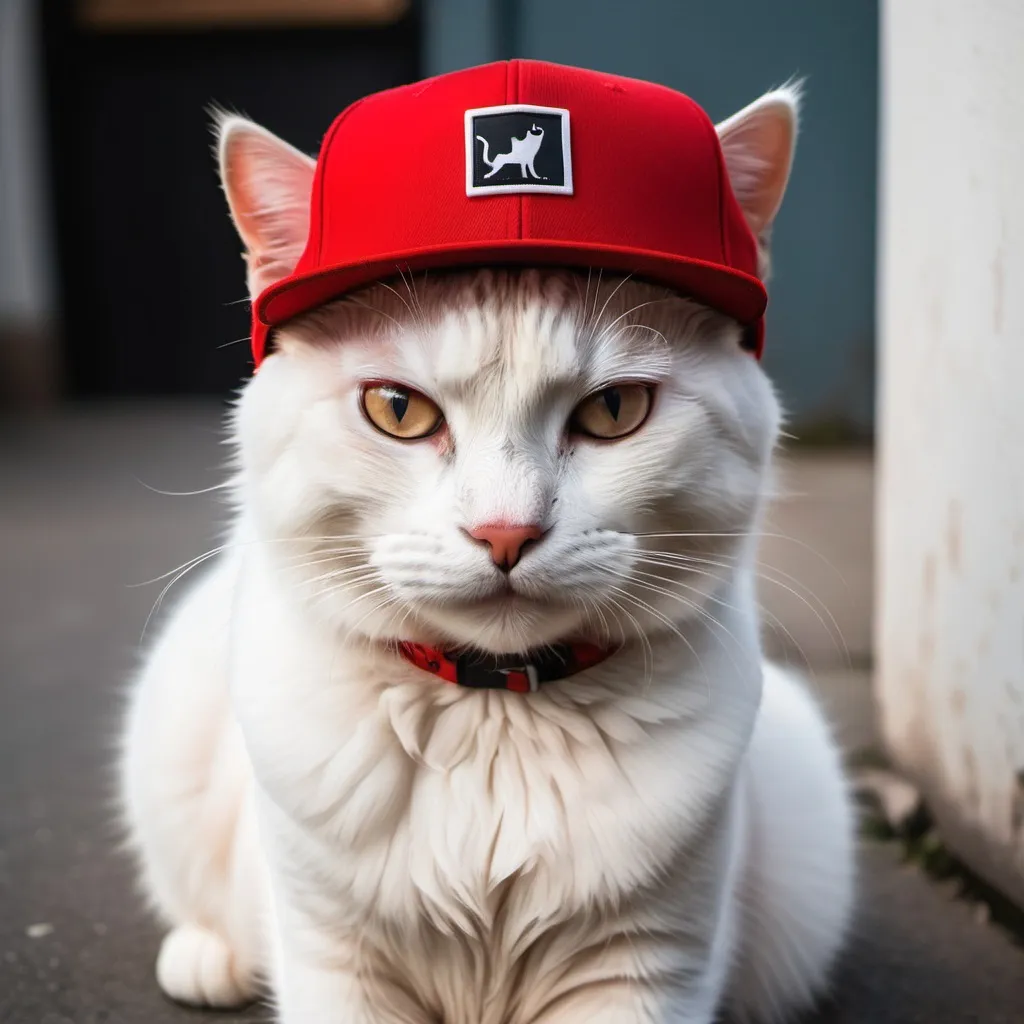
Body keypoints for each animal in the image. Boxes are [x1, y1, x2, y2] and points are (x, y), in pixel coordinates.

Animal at [119, 81, 856, 1024]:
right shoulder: (335, 961)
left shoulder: (646, 972)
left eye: (614, 411)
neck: (497, 721)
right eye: (397, 409)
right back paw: (207, 957)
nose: (506, 531)